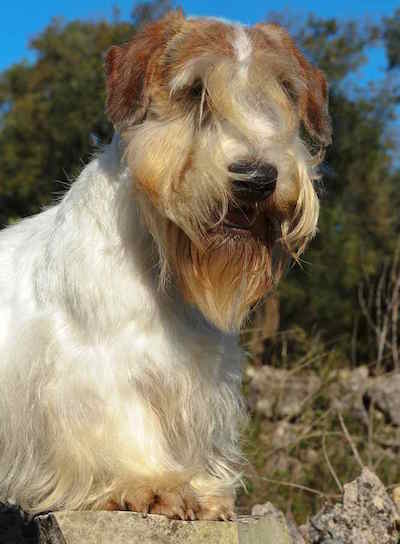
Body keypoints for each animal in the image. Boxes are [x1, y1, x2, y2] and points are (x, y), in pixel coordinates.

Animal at [0, 10, 332, 520]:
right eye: (195, 91)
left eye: (283, 90)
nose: (258, 178)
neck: (163, 266)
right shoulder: (97, 370)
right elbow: (126, 423)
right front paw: (152, 484)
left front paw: (206, 493)